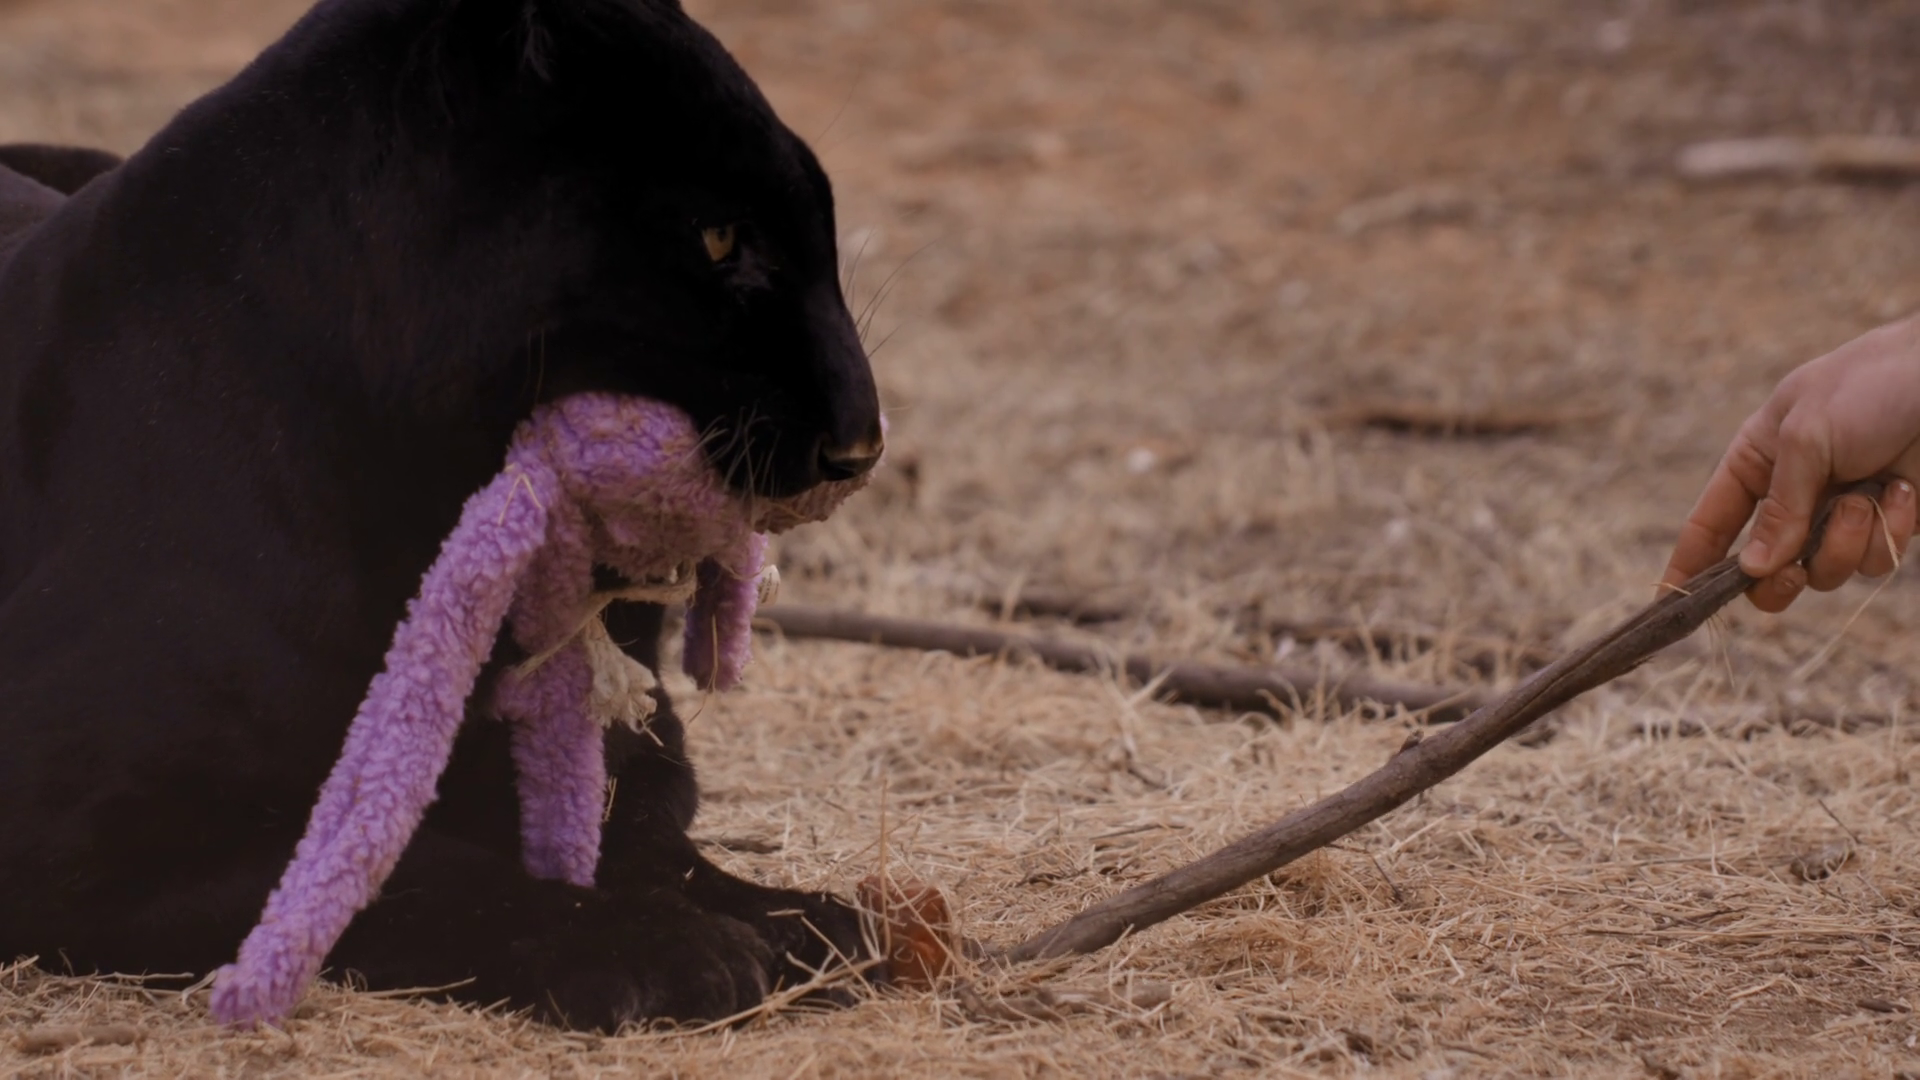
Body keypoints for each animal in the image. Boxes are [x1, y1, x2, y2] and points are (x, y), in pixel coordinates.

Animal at [0, 0, 883, 1031]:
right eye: (716, 239)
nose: (861, 442)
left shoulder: (617, 747)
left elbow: (660, 842)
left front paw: (815, 920)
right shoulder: (77, 813)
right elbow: (398, 875)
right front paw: (666, 948)